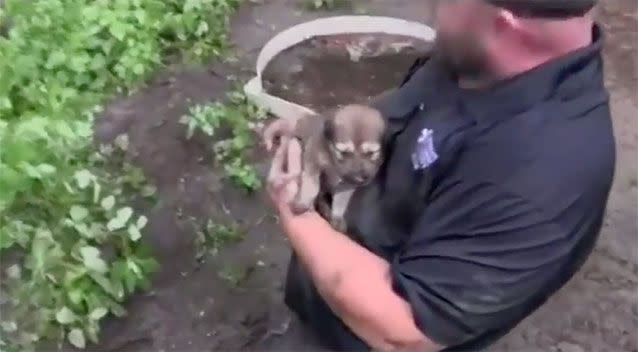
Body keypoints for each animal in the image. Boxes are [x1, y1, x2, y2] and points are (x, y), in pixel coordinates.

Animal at [264, 103, 388, 232]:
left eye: (371, 153)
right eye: (343, 152)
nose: (359, 178)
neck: (333, 161)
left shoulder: (347, 183)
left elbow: (341, 198)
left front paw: (337, 215)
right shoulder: (312, 160)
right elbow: (312, 186)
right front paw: (304, 202)